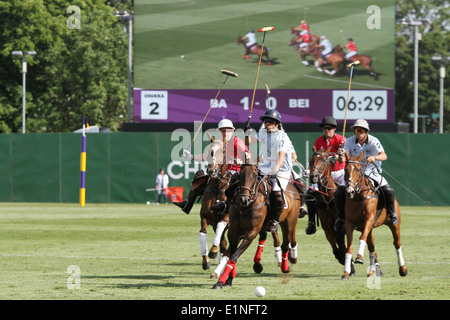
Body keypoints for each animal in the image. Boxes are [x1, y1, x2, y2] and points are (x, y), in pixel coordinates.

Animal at [212, 160, 302, 290]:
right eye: (240, 175)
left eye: (254, 176)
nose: (243, 200)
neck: (246, 207)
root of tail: (293, 186)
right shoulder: (234, 231)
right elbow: (233, 254)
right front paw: (226, 280)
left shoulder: (251, 232)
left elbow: (234, 256)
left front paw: (222, 281)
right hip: (264, 225)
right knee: (263, 237)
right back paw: (257, 264)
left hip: (289, 223)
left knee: (285, 244)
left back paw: (285, 268)